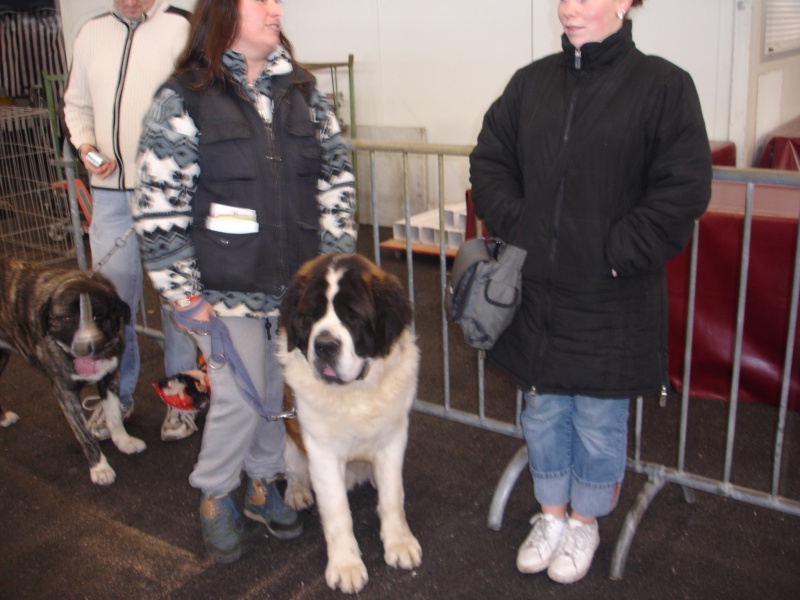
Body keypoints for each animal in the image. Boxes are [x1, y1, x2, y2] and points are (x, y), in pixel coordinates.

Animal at [0, 255, 145, 486]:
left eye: (99, 317)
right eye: (68, 318)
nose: (87, 347)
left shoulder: (110, 377)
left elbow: (114, 416)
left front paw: (124, 442)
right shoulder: (65, 392)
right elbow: (84, 433)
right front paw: (100, 468)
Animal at [278, 253, 422, 596]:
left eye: (353, 317)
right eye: (310, 316)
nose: (324, 346)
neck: (355, 393)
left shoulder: (393, 439)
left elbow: (393, 496)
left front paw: (399, 543)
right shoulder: (322, 453)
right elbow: (337, 512)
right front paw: (346, 565)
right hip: (286, 437)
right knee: (293, 471)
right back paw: (298, 492)